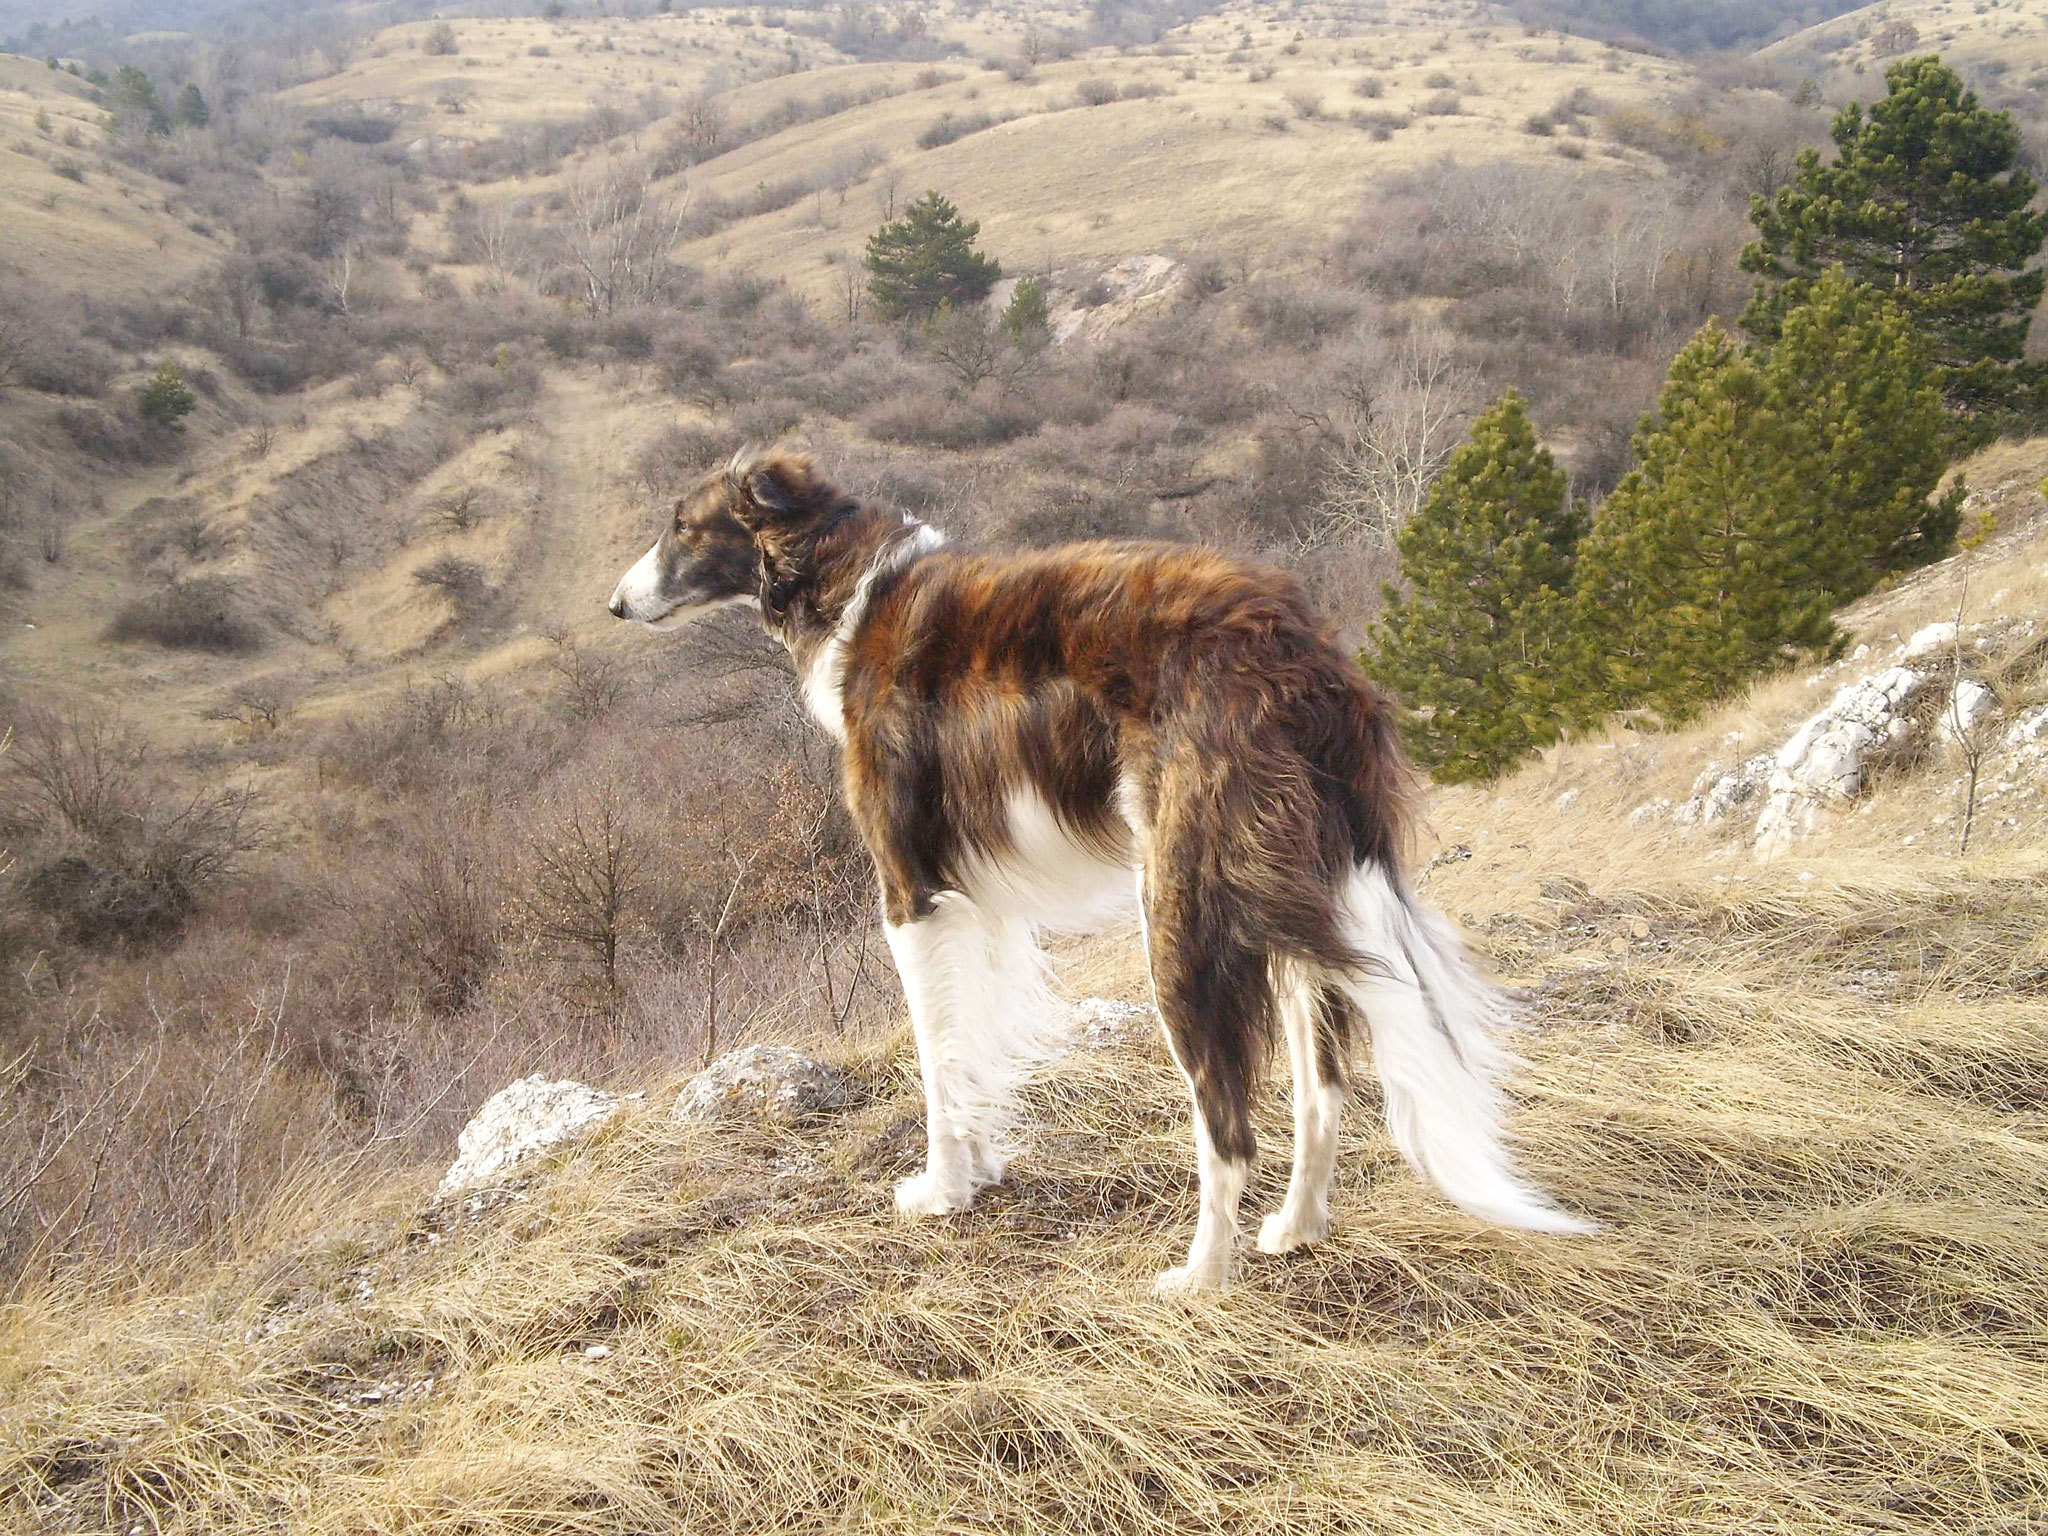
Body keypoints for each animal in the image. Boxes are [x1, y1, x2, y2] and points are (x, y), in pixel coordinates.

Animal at [606, 450, 1581, 1294]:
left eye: (681, 526)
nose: (615, 605)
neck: (853, 588)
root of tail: (1301, 649)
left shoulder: (908, 894)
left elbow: (936, 1063)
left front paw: (941, 1191)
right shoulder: (976, 903)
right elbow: (974, 1051)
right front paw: (981, 1170)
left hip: (1181, 913)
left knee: (1230, 1125)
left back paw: (1201, 1277)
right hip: (1295, 889)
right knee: (1324, 1091)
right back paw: (1296, 1228)